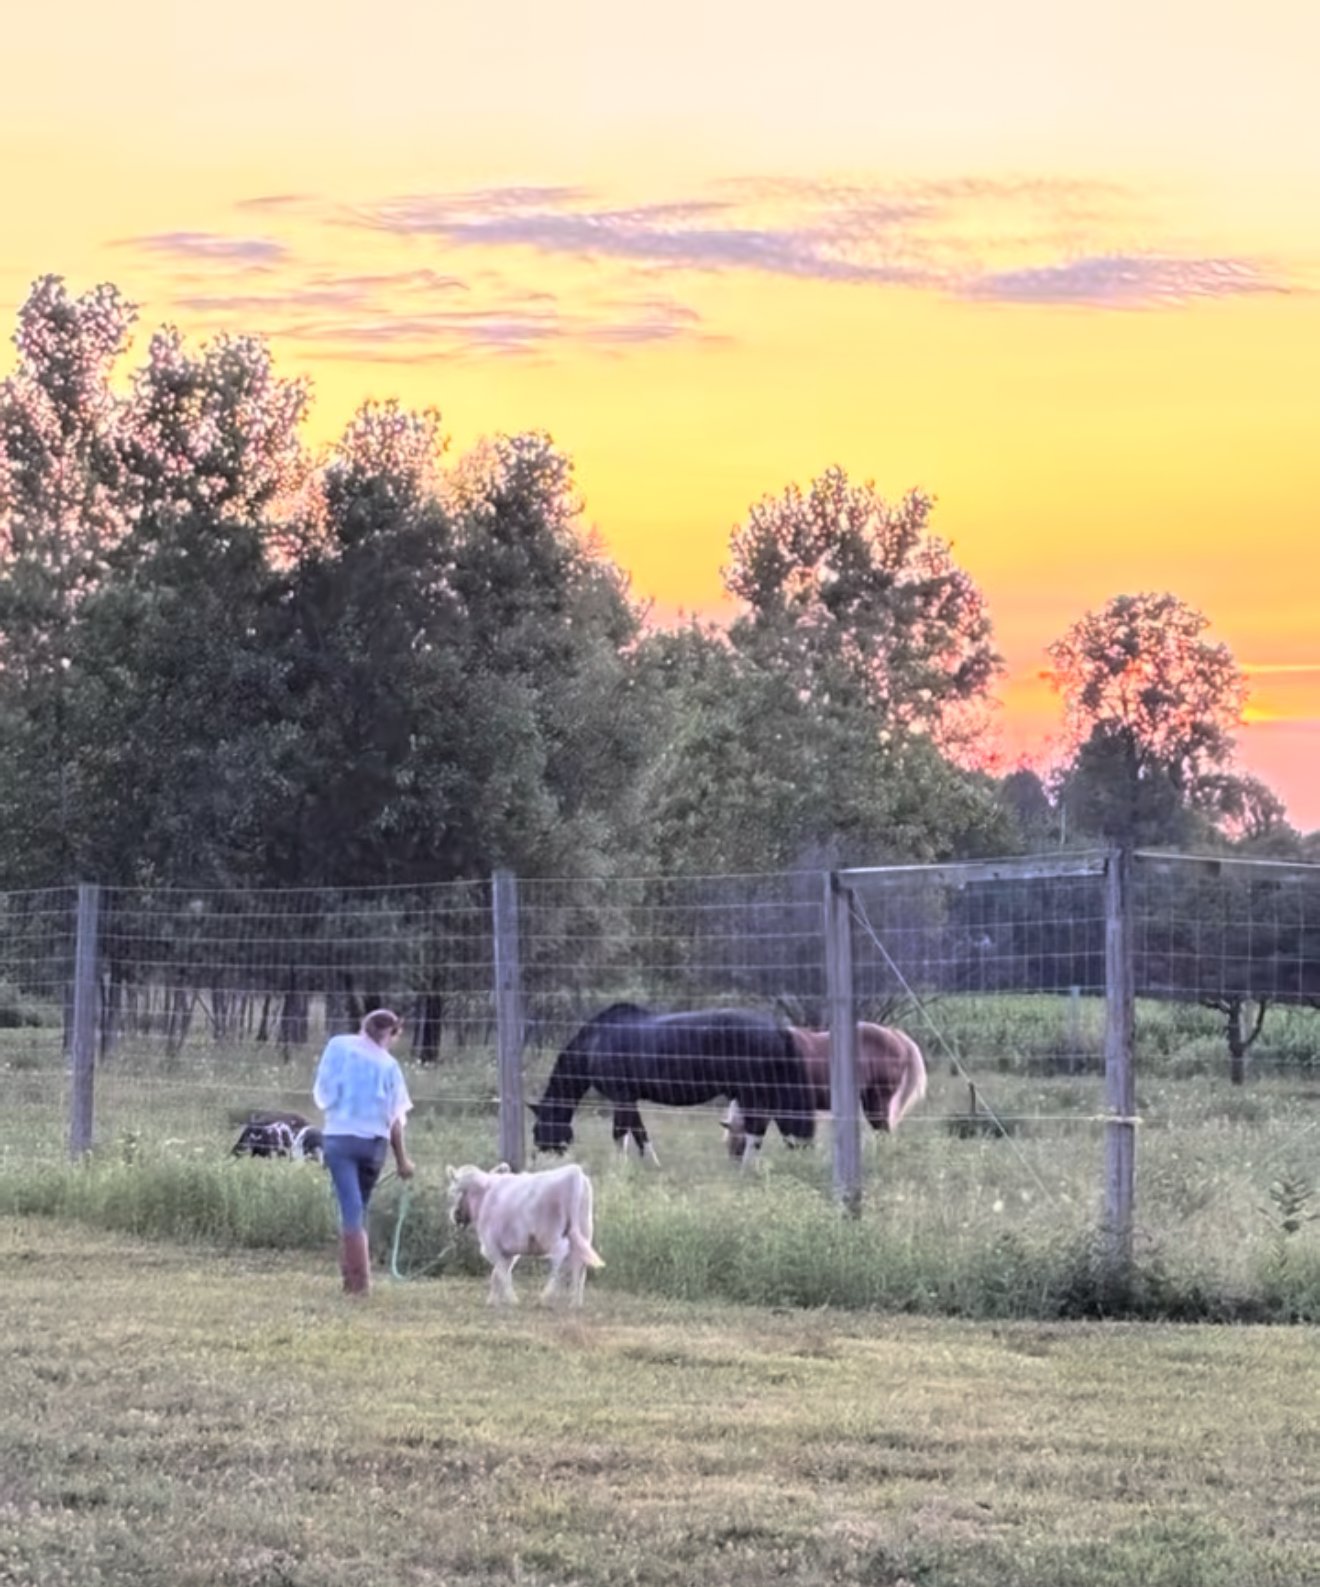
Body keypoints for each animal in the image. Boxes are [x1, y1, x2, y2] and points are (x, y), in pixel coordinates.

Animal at [446, 1161, 604, 1307]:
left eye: (453, 1191)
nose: (455, 1216)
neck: (484, 1196)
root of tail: (574, 1172)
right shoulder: (509, 1252)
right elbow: (497, 1274)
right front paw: (492, 1301)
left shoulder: (492, 1246)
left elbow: (502, 1273)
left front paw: (512, 1300)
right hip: (584, 1231)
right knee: (579, 1262)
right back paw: (575, 1302)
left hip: (550, 1234)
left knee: (560, 1255)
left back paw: (546, 1296)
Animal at [530, 1002, 817, 1165]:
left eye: (536, 1130)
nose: (541, 1159)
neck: (597, 1040)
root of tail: (777, 1028)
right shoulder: (629, 1099)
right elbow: (638, 1133)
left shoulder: (621, 1097)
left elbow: (622, 1133)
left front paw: (620, 1170)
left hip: (754, 1093)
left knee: (756, 1130)